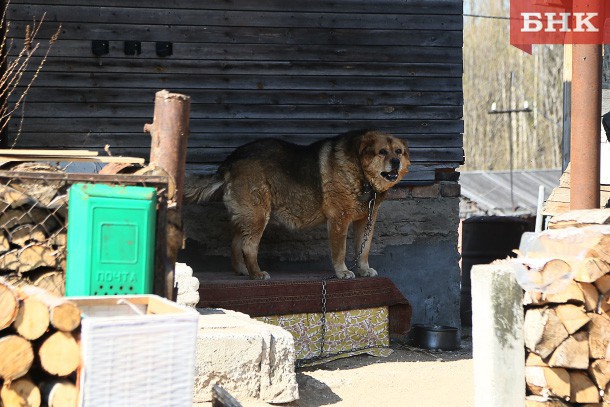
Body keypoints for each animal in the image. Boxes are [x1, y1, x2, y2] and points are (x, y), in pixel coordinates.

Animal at [182, 131, 408, 280]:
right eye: (382, 152)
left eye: (398, 151)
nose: (396, 161)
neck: (360, 171)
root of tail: (230, 160)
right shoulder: (339, 219)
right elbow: (340, 250)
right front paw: (343, 272)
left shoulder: (366, 219)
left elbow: (364, 248)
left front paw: (363, 269)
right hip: (258, 215)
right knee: (248, 246)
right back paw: (257, 274)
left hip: (248, 216)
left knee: (237, 243)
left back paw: (243, 271)